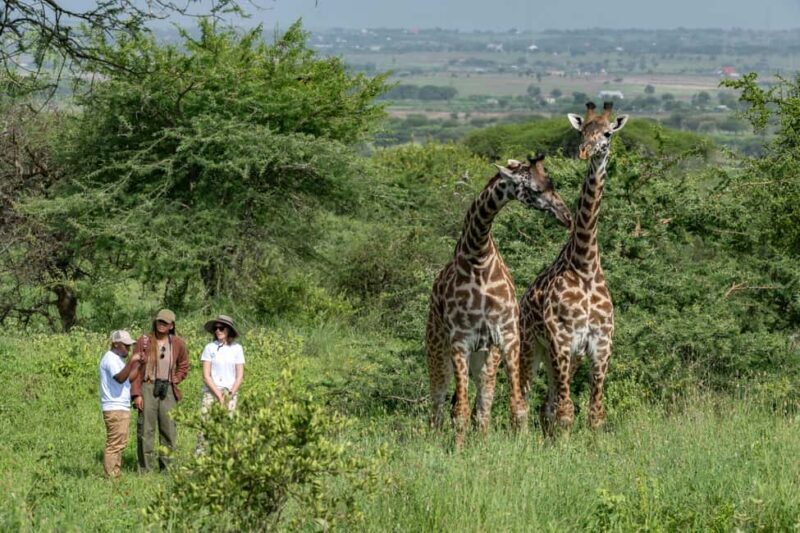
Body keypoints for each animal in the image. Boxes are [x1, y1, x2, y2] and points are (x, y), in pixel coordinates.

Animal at [426, 155, 572, 448]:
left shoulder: (507, 335)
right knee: (438, 402)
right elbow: (460, 411)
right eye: (535, 190)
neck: (479, 256)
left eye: (551, 183)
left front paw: (522, 446)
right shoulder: (460, 340)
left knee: (482, 402)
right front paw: (457, 450)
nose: (566, 216)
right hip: (437, 349)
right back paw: (436, 442)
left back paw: (480, 441)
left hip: (484, 357)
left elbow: (516, 405)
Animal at [519, 102, 629, 436]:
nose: (584, 151)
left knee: (547, 405)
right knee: (526, 398)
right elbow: (567, 413)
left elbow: (595, 413)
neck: (585, 265)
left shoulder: (600, 345)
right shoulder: (561, 339)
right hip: (532, 346)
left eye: (607, 133)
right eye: (582, 131)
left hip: (564, 357)